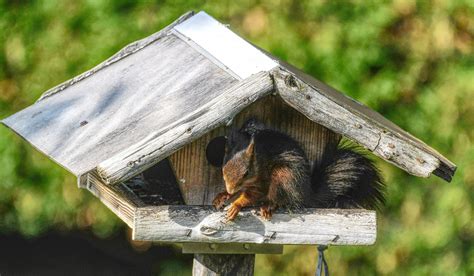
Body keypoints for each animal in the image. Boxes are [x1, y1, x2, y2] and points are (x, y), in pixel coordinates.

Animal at [213, 118, 386, 220]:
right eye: (223, 169)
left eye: (246, 172)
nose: (230, 188)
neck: (258, 160)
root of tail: (306, 193)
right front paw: (222, 196)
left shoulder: (261, 180)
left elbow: (251, 195)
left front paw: (236, 205)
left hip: (283, 175)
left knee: (279, 198)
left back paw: (268, 206)